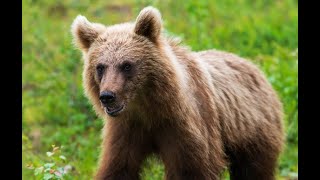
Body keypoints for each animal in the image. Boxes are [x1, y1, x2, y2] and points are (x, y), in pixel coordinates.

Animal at [71, 5, 284, 180]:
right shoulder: (127, 130)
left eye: (127, 65)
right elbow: (118, 168)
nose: (107, 96)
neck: (149, 108)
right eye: (100, 67)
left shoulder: (184, 127)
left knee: (253, 170)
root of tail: (253, 66)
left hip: (253, 131)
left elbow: (191, 169)